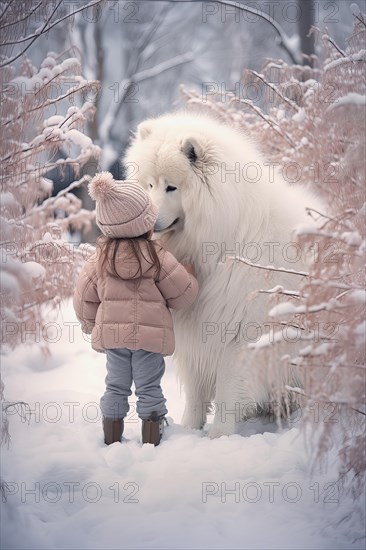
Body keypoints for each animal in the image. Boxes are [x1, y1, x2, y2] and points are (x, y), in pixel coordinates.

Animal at [124, 112, 318, 440]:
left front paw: (219, 435)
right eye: (148, 184)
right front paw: (189, 428)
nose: (146, 220)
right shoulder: (196, 330)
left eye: (171, 187)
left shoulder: (241, 332)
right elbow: (196, 390)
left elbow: (229, 388)